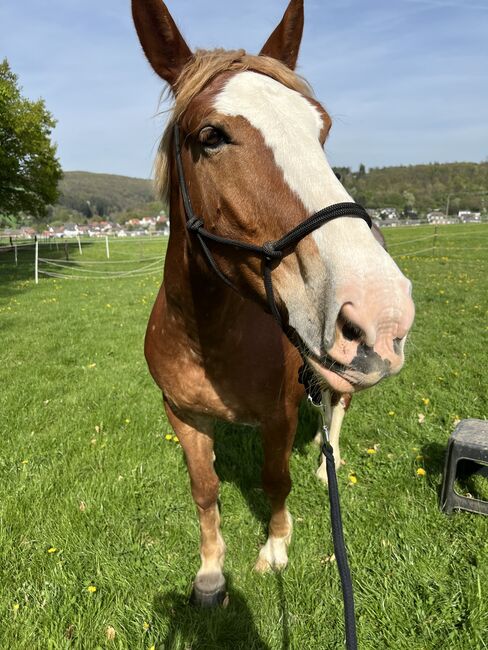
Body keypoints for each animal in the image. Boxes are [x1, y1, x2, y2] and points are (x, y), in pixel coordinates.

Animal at [132, 0, 414, 608]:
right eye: (211, 135)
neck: (207, 336)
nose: (382, 311)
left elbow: (275, 479)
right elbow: (204, 489)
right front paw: (211, 572)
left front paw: (276, 547)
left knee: (337, 407)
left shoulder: (281, 413)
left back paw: (329, 466)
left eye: (321, 129)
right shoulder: (181, 414)